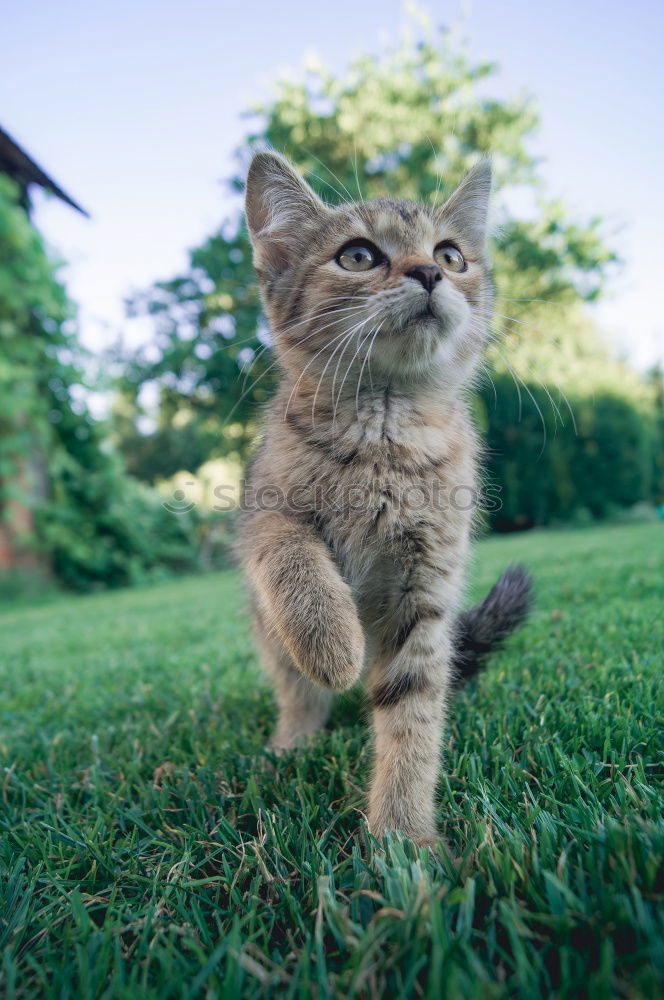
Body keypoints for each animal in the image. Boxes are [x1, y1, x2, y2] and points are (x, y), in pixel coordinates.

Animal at [236, 152, 532, 848]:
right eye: (358, 256)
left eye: (452, 255)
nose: (428, 272)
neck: (384, 435)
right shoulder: (262, 515)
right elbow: (292, 558)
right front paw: (330, 640)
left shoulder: (425, 588)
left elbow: (412, 708)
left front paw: (403, 835)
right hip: (266, 632)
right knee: (295, 689)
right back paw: (292, 741)